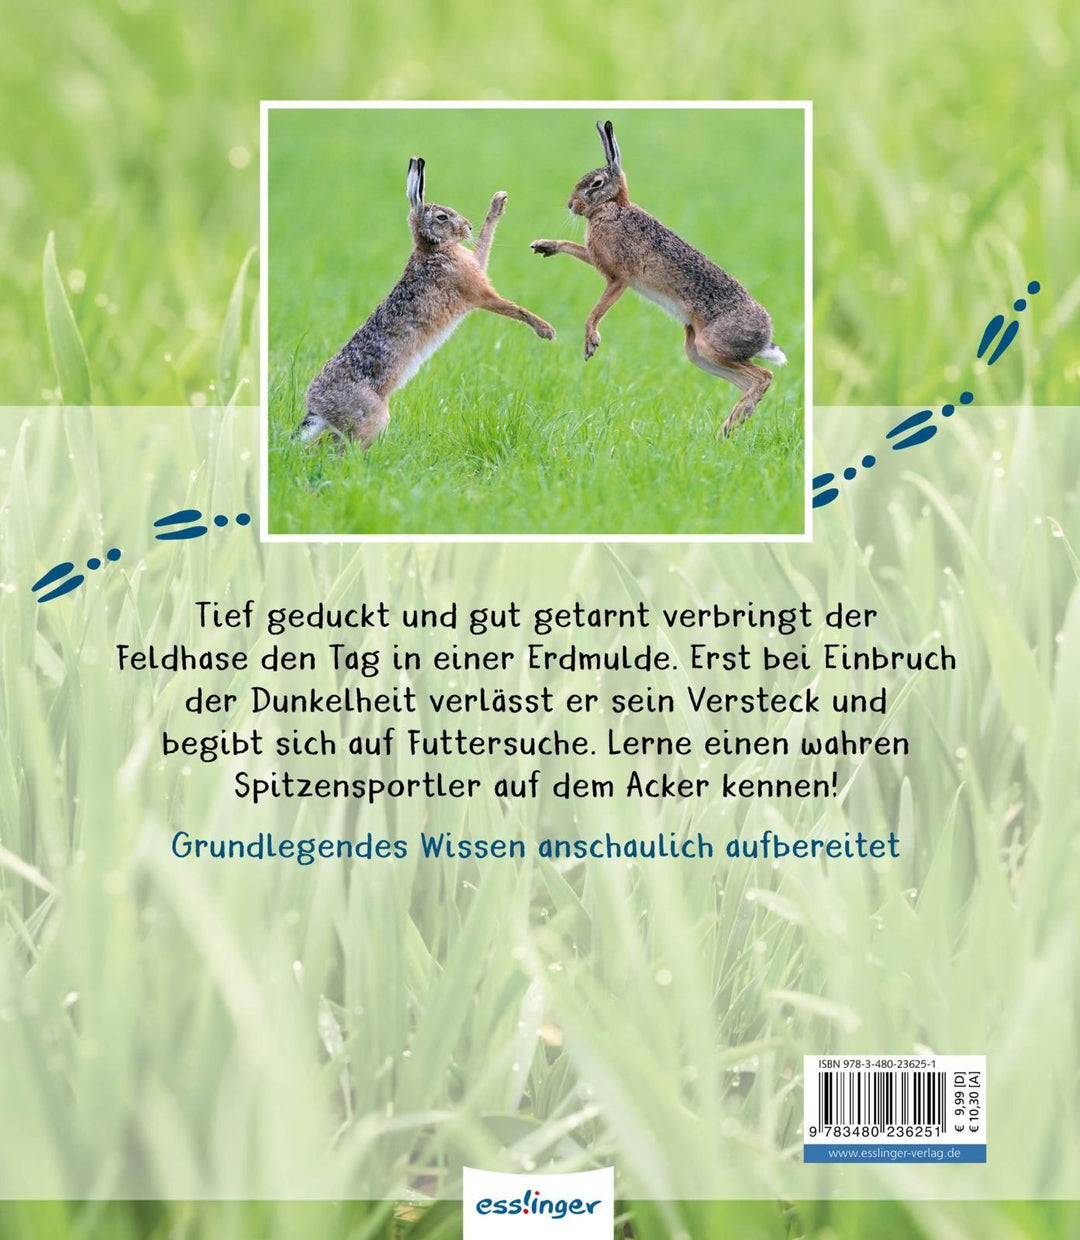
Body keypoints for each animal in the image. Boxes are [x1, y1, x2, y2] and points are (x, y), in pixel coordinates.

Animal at [297, 157, 555, 447]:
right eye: (442, 217)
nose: (467, 227)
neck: (432, 248)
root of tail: (316, 406)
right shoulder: (479, 292)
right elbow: (513, 308)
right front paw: (546, 330)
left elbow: (484, 244)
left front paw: (498, 201)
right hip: (370, 419)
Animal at [531, 120, 787, 437]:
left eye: (596, 184)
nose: (570, 204)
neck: (612, 206)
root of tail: (765, 335)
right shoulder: (599, 259)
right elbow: (571, 246)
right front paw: (545, 245)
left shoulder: (619, 278)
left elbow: (596, 311)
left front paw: (591, 342)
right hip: (697, 351)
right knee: (747, 382)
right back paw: (728, 428)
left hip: (713, 345)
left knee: (764, 376)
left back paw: (735, 421)